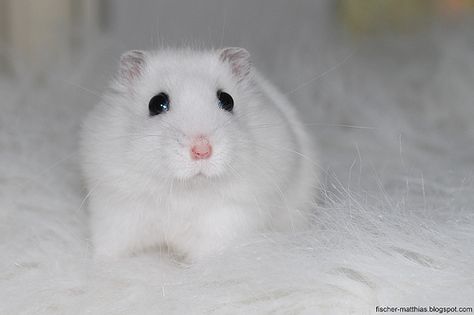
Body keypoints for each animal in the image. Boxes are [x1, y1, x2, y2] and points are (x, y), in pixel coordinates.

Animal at [80, 47, 318, 262]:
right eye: (156, 103)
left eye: (227, 100)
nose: (202, 151)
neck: (187, 190)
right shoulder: (117, 211)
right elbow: (112, 249)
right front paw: (103, 264)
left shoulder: (229, 218)